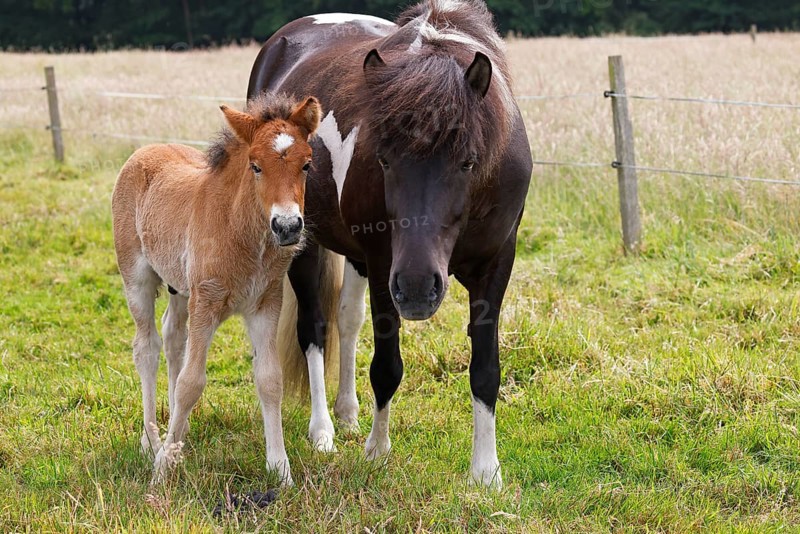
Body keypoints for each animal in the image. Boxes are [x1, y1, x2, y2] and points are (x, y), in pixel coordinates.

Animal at [112, 92, 324, 485]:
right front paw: (161, 471)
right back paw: (152, 441)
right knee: (146, 347)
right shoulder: (207, 301)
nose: (287, 226)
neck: (240, 230)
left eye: (306, 165)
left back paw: (175, 434)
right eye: (256, 166)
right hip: (137, 278)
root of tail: (144, 150)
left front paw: (281, 470)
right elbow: (191, 382)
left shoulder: (265, 303)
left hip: (180, 289)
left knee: (173, 338)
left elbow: (270, 379)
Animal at [248, 0, 532, 488]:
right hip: (303, 242)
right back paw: (323, 431)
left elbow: (485, 369)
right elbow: (386, 367)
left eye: (468, 162)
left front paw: (486, 472)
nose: (418, 289)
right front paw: (377, 452)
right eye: (382, 159)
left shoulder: (496, 263)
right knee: (315, 329)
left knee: (347, 320)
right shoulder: (384, 265)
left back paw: (347, 414)